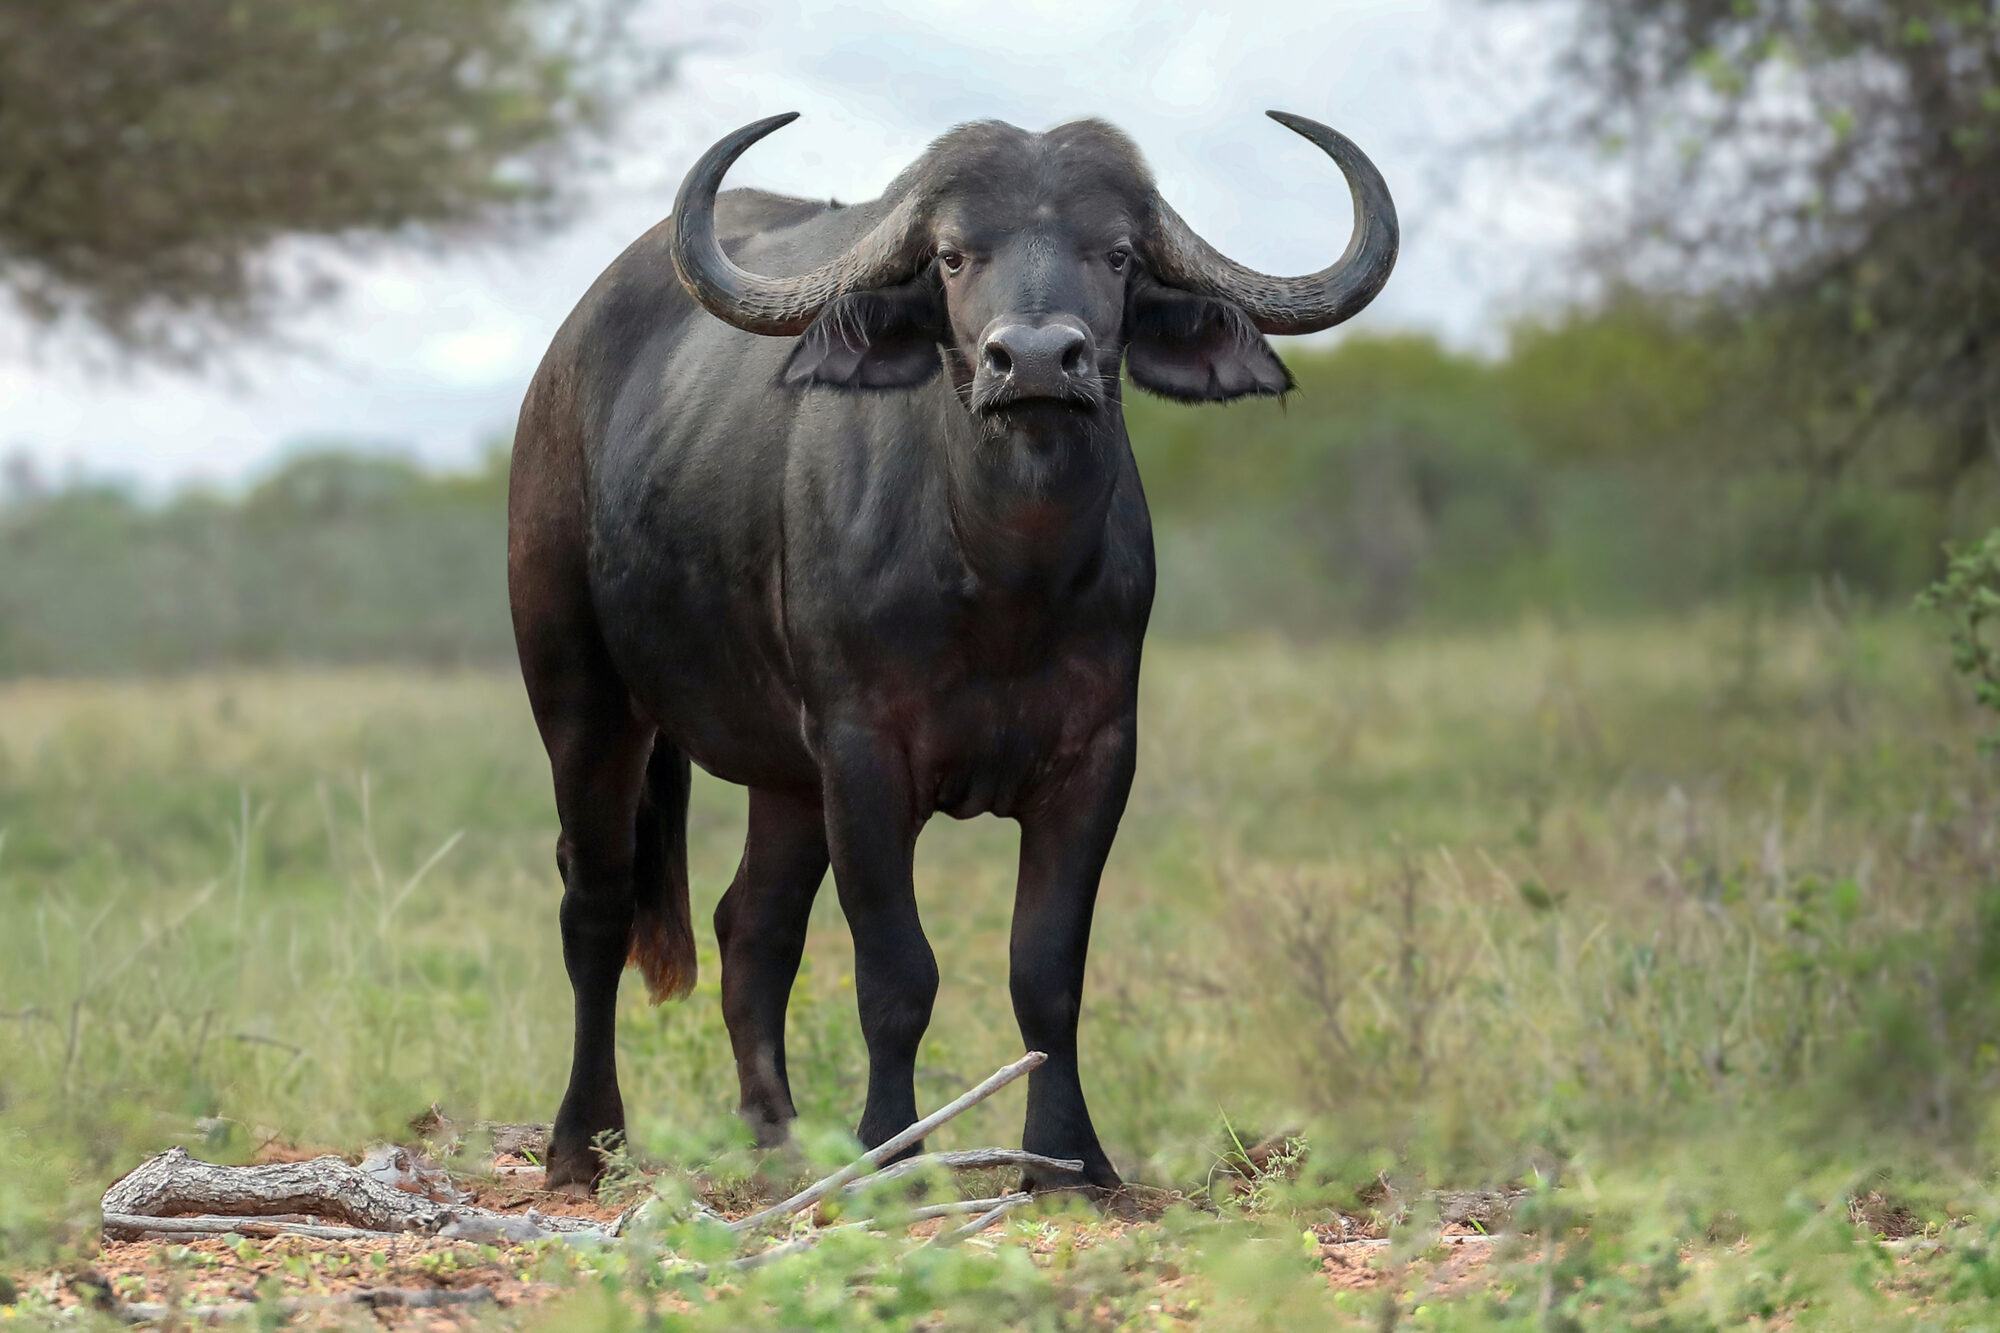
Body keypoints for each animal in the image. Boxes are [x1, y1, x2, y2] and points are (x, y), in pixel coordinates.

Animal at [507, 110, 1396, 1194]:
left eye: (1115, 253)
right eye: (952, 255)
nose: (1037, 359)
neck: (1002, 579)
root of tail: (559, 372)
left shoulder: (1097, 756)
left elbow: (1045, 970)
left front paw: (1068, 1156)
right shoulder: (862, 755)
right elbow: (897, 971)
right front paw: (890, 1152)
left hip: (784, 777)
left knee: (750, 926)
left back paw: (779, 1140)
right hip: (579, 692)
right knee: (594, 904)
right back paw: (581, 1142)